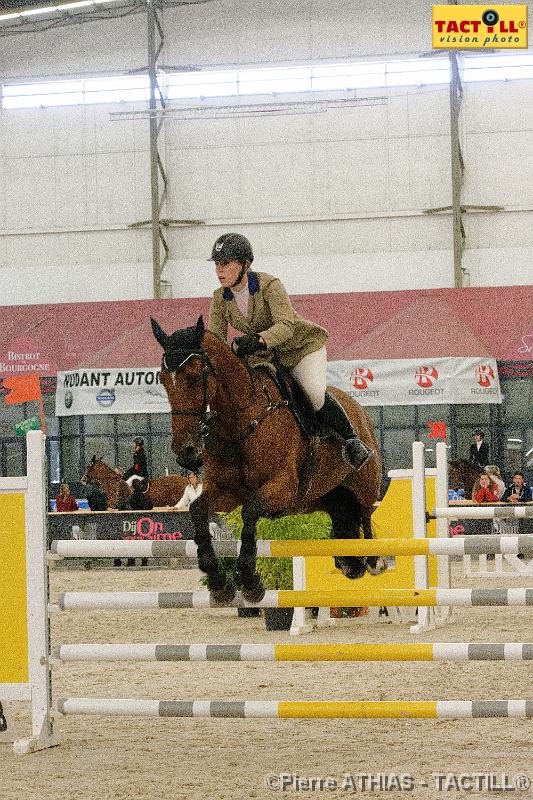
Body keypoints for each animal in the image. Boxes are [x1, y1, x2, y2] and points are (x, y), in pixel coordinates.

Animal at [152, 316, 384, 604]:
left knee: (365, 513)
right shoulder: (226, 492)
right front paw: (219, 583)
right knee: (342, 514)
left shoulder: (281, 487)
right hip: (321, 496)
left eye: (194, 378)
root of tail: (358, 409)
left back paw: (373, 561)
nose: (185, 451)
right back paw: (349, 563)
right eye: (162, 380)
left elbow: (250, 511)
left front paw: (250, 582)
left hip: (365, 482)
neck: (239, 424)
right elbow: (197, 510)